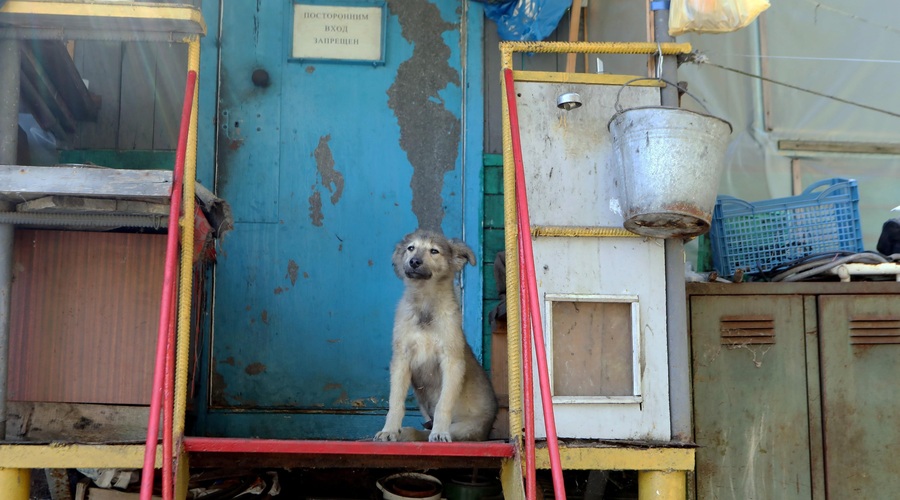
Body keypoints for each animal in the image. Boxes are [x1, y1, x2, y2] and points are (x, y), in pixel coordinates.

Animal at [374, 228, 500, 442]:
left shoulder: (452, 361)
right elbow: (395, 401)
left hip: (464, 429)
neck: (425, 303)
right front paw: (389, 430)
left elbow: (443, 404)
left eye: (434, 251)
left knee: (423, 433)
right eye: (411, 248)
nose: (414, 262)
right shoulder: (401, 359)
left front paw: (440, 432)